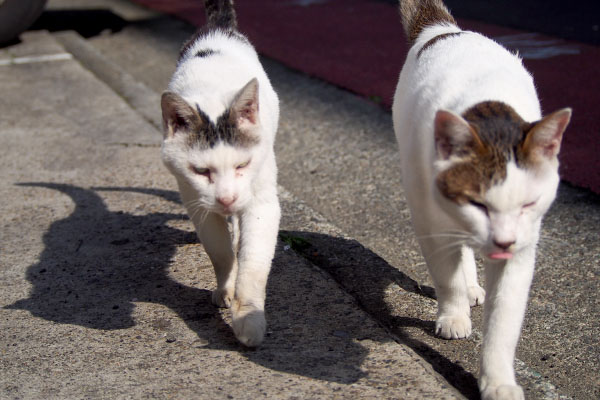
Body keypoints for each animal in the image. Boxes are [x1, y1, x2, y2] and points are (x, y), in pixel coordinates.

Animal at [161, 0, 280, 346]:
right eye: (201, 171)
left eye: (242, 165)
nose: (227, 199)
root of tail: (218, 28)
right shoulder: (195, 201)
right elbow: (220, 252)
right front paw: (225, 289)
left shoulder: (263, 201)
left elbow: (253, 263)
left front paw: (249, 318)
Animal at [392, 0, 568, 396]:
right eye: (478, 204)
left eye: (528, 204)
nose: (503, 241)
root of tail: (444, 30)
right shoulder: (430, 220)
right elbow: (447, 275)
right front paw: (454, 314)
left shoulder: (523, 244)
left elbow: (503, 322)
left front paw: (498, 381)